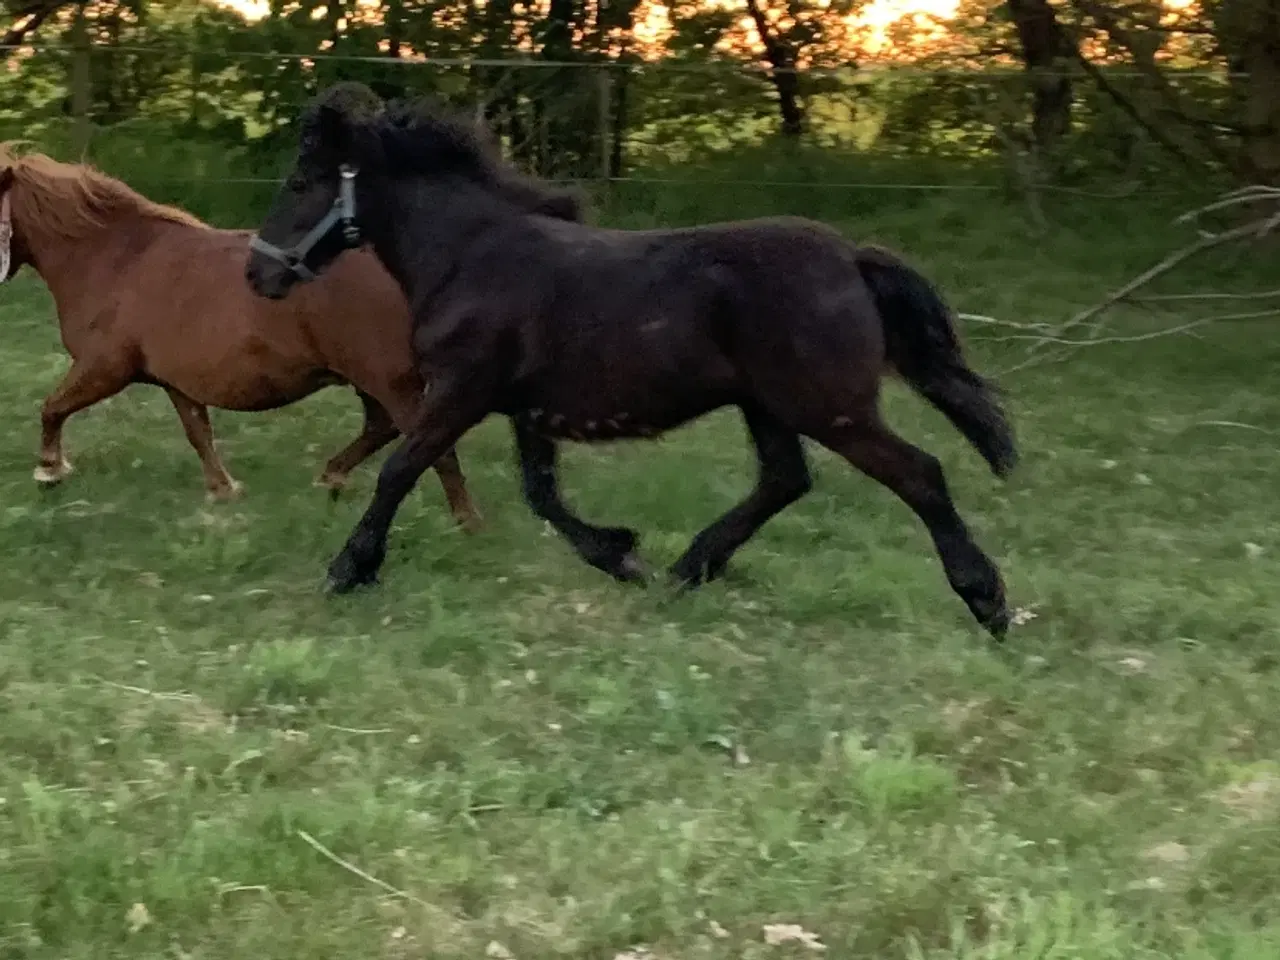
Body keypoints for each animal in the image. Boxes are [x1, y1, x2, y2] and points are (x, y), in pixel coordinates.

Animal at [0, 146, 481, 527]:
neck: (112, 257)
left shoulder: (105, 368)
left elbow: (52, 408)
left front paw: (49, 470)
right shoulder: (175, 382)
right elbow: (199, 432)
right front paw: (223, 489)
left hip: (385, 377)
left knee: (428, 443)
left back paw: (465, 520)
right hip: (369, 377)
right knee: (381, 427)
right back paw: (332, 477)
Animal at [241, 82, 1018, 640]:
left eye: (304, 181)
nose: (258, 273)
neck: (471, 256)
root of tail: (853, 259)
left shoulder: (463, 389)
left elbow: (402, 468)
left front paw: (348, 569)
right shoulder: (523, 406)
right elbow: (542, 494)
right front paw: (621, 555)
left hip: (828, 407)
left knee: (918, 473)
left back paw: (988, 602)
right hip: (768, 405)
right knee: (784, 480)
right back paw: (685, 572)